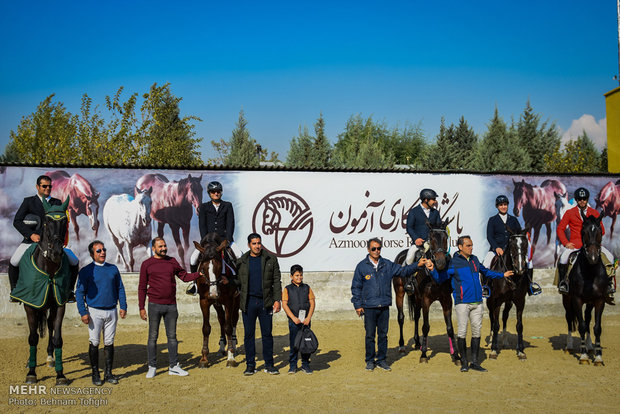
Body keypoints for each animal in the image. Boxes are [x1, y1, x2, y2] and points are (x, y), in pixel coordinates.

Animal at [9, 197, 72, 384]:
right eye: (47, 222)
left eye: (65, 222)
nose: (56, 253)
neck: (49, 267)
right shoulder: (30, 305)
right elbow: (33, 337)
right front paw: (31, 373)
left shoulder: (60, 303)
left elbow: (57, 338)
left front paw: (60, 375)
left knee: (50, 326)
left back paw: (50, 358)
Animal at [193, 234, 241, 368]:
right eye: (203, 267)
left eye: (219, 266)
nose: (214, 293)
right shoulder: (204, 301)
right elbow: (206, 328)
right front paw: (204, 359)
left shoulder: (229, 301)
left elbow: (229, 327)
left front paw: (231, 358)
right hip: (217, 304)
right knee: (221, 320)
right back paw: (221, 347)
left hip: (236, 300)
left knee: (233, 320)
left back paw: (233, 345)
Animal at [392, 222, 460, 364]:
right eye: (432, 238)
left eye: (446, 238)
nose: (440, 263)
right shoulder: (426, 300)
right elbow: (426, 327)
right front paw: (423, 355)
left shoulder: (446, 300)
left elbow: (450, 328)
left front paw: (457, 356)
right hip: (400, 292)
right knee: (401, 317)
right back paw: (401, 346)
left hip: (417, 298)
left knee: (417, 317)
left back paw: (418, 343)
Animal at [486, 228, 532, 360]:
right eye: (512, 245)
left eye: (525, 244)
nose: (520, 268)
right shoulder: (496, 300)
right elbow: (496, 325)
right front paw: (493, 350)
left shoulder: (520, 301)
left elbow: (519, 325)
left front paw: (521, 351)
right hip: (490, 301)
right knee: (492, 318)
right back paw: (491, 341)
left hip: (508, 302)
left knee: (505, 316)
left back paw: (505, 341)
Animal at [560, 213, 604, 366]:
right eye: (583, 232)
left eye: (599, 232)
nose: (593, 257)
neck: (590, 271)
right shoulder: (577, 299)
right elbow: (582, 326)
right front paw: (584, 356)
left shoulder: (599, 300)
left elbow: (596, 327)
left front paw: (598, 356)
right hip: (567, 299)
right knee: (569, 318)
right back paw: (569, 346)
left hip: (590, 302)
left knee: (588, 317)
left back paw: (590, 347)